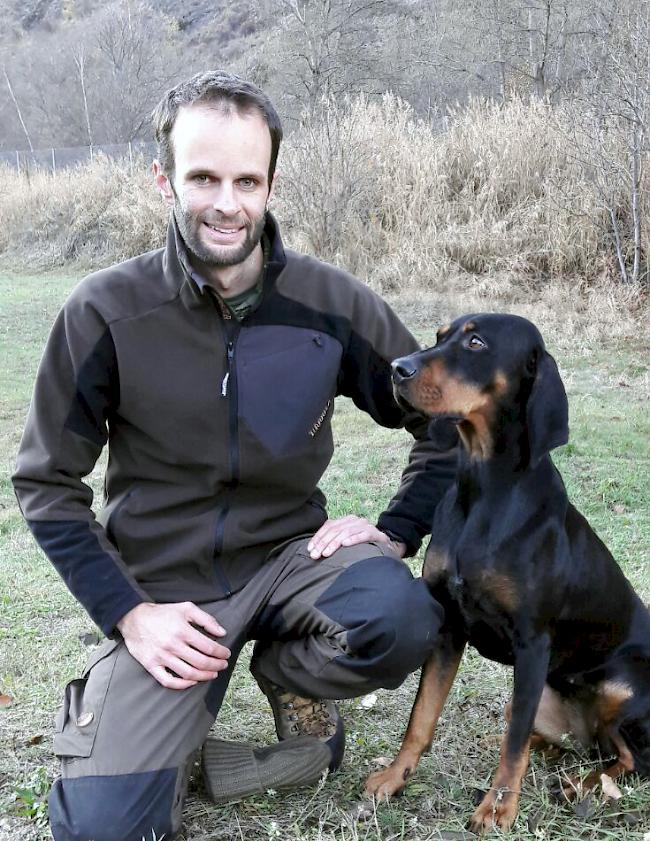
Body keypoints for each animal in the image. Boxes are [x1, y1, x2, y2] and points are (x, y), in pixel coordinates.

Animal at [364, 316, 648, 832]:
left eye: (477, 342)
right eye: (441, 336)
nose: (397, 367)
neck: (485, 492)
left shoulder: (532, 643)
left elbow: (511, 747)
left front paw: (498, 808)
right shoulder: (448, 627)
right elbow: (421, 718)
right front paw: (394, 777)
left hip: (622, 686)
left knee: (627, 758)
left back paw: (581, 786)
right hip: (550, 705)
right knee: (557, 737)